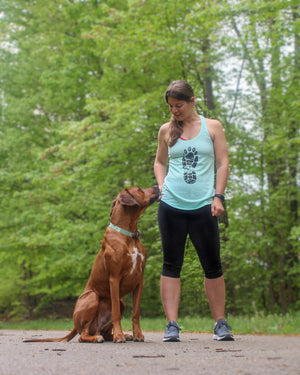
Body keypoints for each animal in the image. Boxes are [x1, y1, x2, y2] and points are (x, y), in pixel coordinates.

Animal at [24, 186, 159, 344]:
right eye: (139, 189)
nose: (157, 186)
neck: (128, 234)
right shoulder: (114, 278)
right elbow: (116, 314)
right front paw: (119, 335)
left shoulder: (139, 281)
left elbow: (136, 313)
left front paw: (137, 334)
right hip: (92, 297)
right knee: (82, 335)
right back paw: (97, 338)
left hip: (121, 303)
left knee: (104, 332)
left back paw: (121, 335)